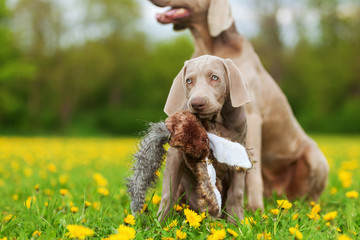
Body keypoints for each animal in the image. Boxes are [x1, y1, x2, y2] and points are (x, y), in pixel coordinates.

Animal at [149, 0, 330, 221]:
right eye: (189, 81)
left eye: (215, 78)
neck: (209, 46)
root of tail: (283, 194)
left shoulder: (252, 119)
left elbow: (249, 176)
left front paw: (253, 210)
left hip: (315, 156)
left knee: (312, 196)